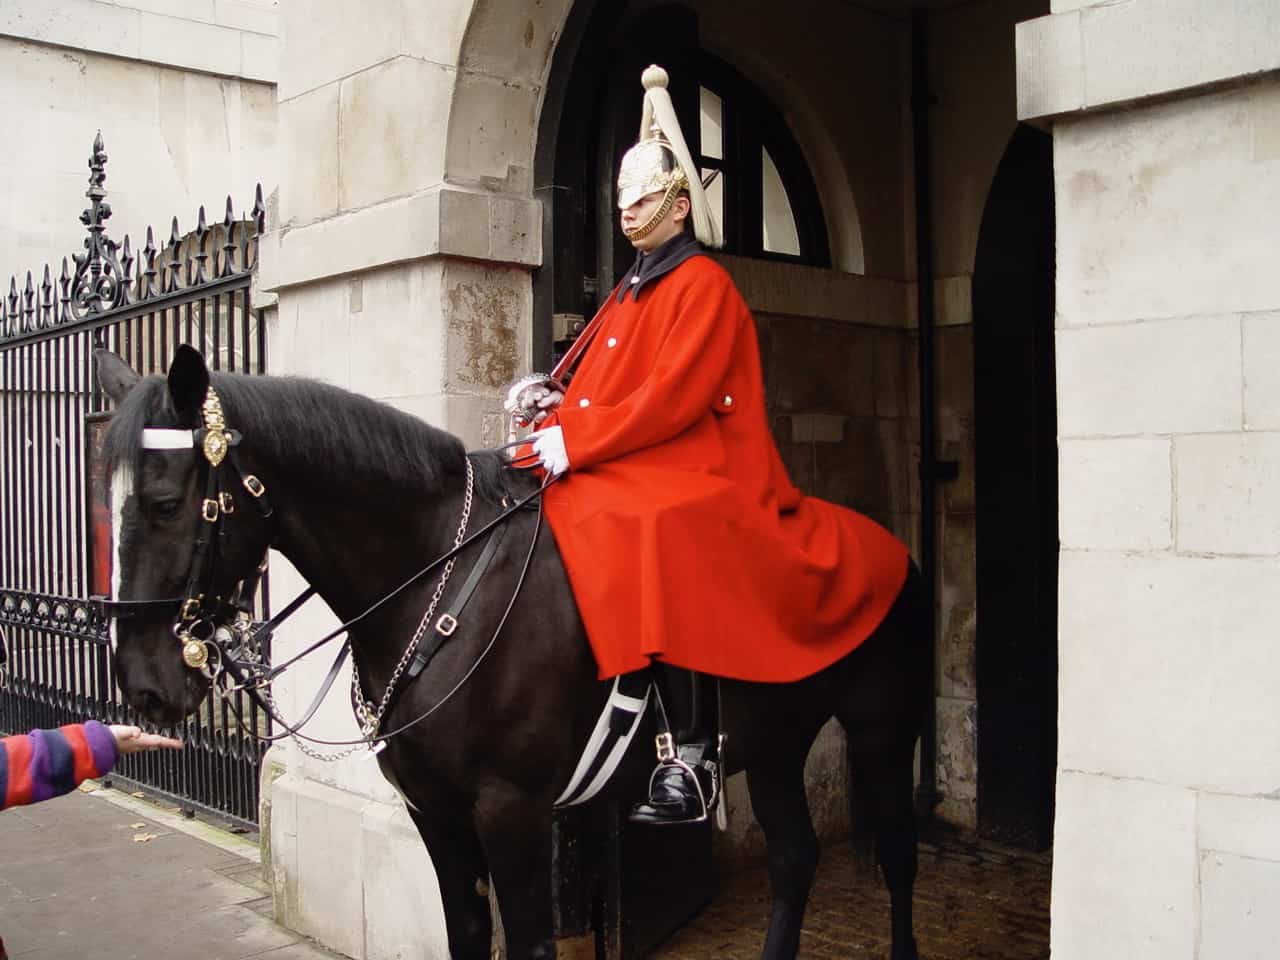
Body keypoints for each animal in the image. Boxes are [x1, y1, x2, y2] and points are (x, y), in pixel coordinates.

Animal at [92, 348, 931, 960]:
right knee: (795, 860)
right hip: (778, 743)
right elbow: (466, 939)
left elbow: (526, 947)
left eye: (164, 505)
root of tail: (893, 545)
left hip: (882, 730)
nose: (143, 687)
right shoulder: (435, 815)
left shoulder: (513, 812)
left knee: (897, 855)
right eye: (110, 506)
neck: (439, 582)